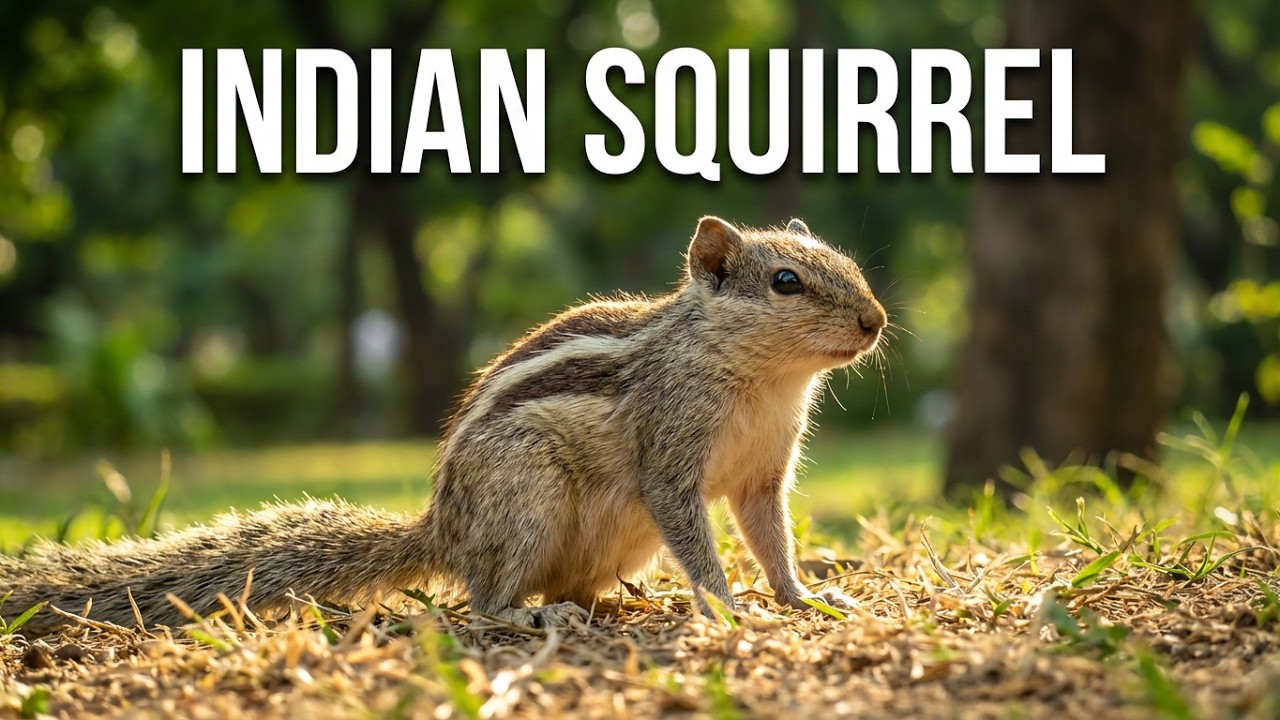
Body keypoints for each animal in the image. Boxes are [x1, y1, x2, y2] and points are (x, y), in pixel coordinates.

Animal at [1, 216, 887, 634]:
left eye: (851, 265)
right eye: (785, 282)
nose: (876, 321)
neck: (766, 381)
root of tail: (444, 528)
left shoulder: (764, 474)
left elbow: (770, 535)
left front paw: (803, 596)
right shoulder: (670, 452)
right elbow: (693, 529)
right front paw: (725, 606)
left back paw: (603, 603)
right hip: (525, 496)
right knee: (484, 597)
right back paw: (531, 615)